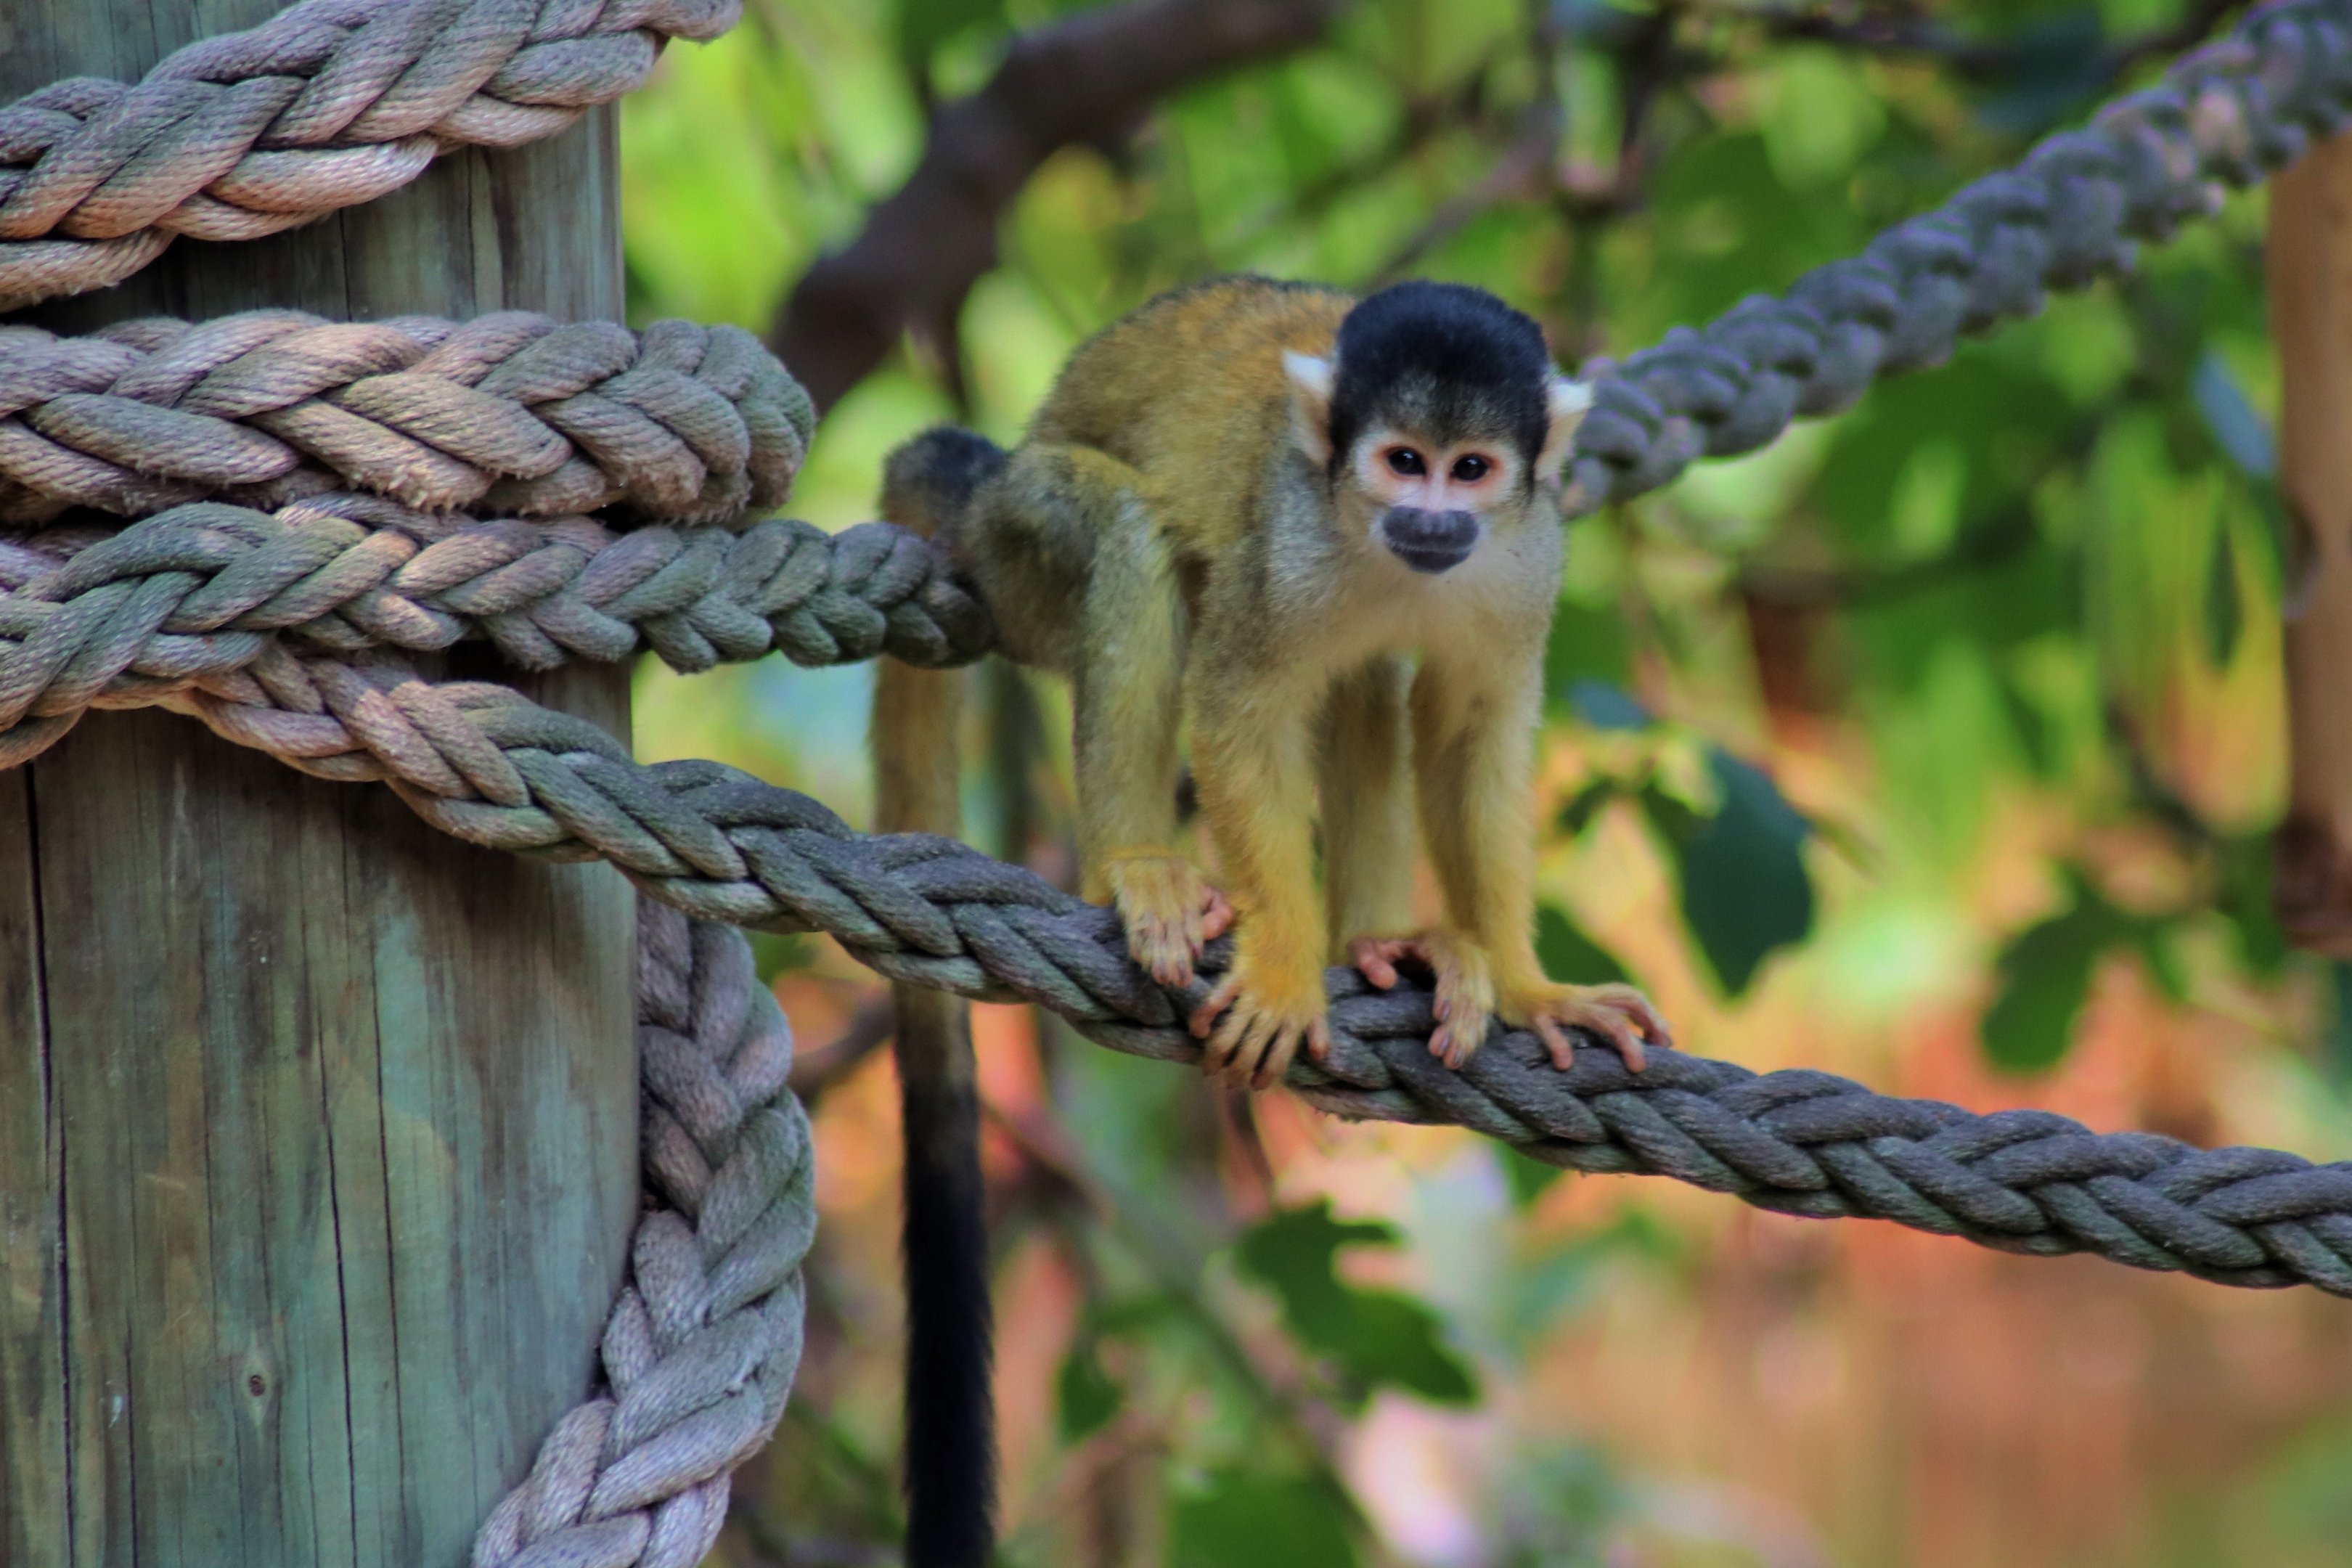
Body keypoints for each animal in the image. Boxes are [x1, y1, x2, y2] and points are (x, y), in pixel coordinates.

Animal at [869, 277, 1670, 1563]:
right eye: (1402, 461)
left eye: (1472, 469)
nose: (1432, 519)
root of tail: (980, 478)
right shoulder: (1289, 546)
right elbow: (1241, 703)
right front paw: (1290, 972)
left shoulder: (1528, 556)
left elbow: (1472, 731)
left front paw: (1528, 983)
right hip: (1018, 551)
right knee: (1128, 535)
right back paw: (1137, 867)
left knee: (1373, 678)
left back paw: (1381, 946)